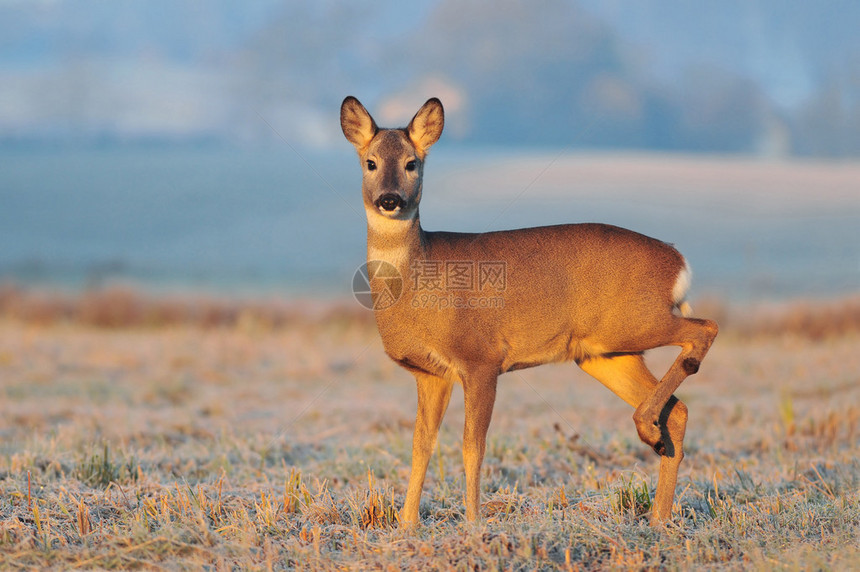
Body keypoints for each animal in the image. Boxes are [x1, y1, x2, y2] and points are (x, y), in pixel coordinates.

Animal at [340, 95, 716, 528]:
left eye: (411, 163)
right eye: (370, 162)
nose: (390, 199)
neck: (420, 276)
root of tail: (678, 262)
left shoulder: (480, 359)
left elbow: (473, 446)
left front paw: (473, 523)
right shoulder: (430, 373)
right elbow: (421, 446)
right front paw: (407, 526)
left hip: (635, 321)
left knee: (705, 328)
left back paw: (649, 439)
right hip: (605, 352)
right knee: (679, 410)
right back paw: (658, 513)